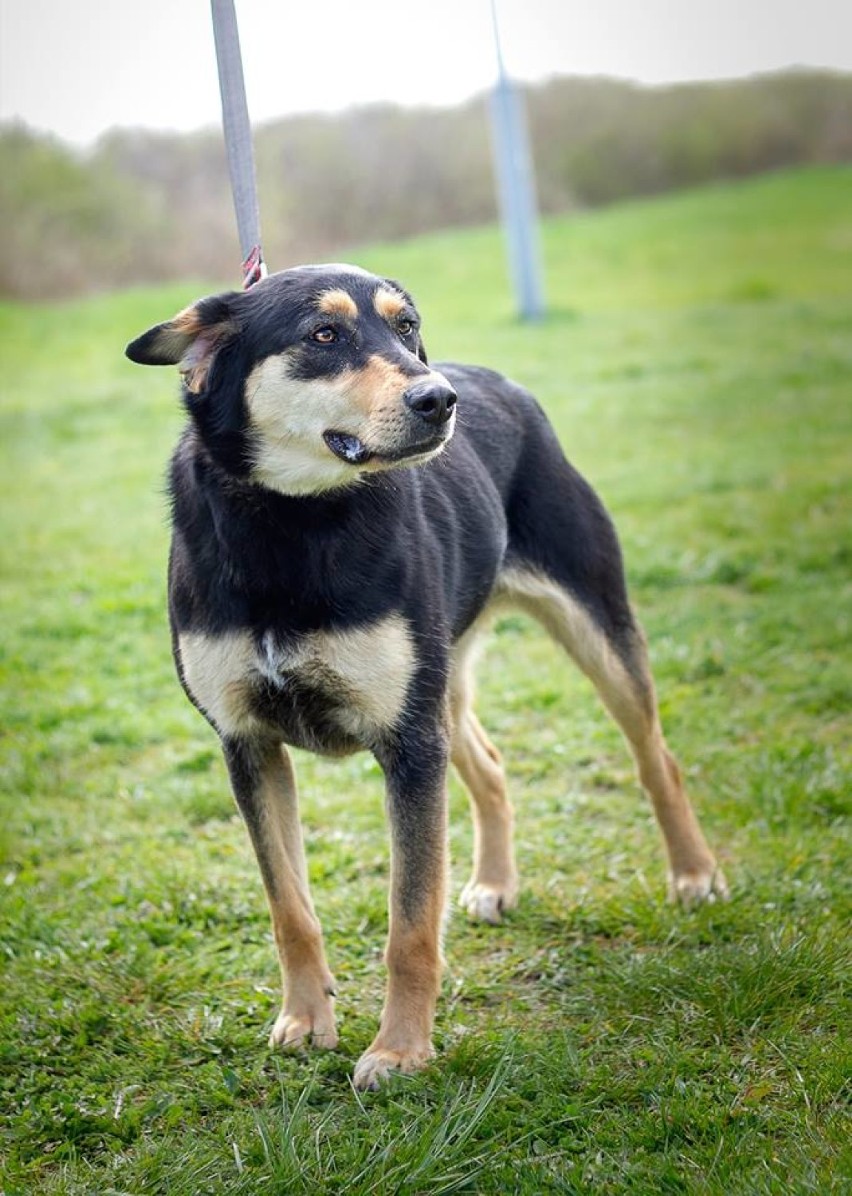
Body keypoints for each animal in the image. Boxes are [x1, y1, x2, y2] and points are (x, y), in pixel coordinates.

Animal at [125, 266, 727, 1090]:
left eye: (406, 327)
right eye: (323, 335)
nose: (439, 398)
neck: (290, 521)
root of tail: (501, 382)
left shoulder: (407, 746)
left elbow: (410, 924)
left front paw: (401, 1050)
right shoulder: (249, 745)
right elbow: (290, 910)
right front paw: (306, 1020)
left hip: (593, 629)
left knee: (656, 758)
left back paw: (694, 875)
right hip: (442, 688)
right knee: (493, 768)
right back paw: (497, 885)